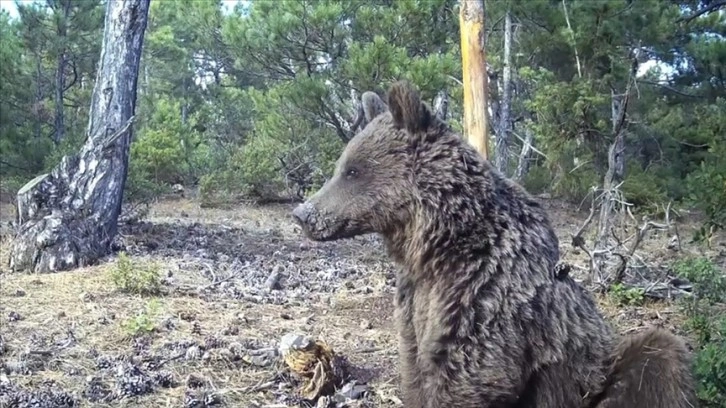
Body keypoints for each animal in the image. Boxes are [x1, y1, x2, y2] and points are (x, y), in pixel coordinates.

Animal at [292, 80, 700, 408]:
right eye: (342, 166)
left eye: (353, 170)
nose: (303, 214)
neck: (438, 245)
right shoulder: (416, 299)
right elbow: (415, 366)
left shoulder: (483, 291)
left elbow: (467, 372)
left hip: (597, 370)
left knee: (658, 357)